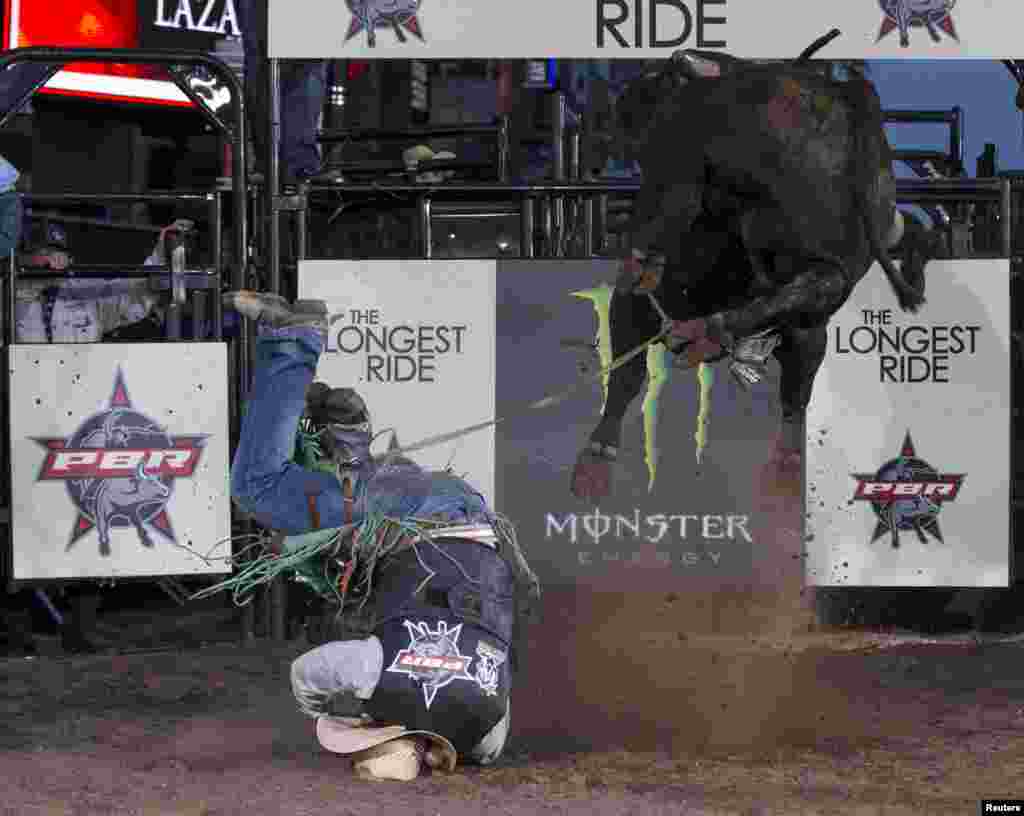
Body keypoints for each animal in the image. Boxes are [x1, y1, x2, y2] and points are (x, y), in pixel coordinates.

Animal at [573, 35, 937, 499]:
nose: (604, 139)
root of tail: (845, 94)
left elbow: (627, 365)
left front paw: (596, 459)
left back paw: (710, 331)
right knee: (823, 281)